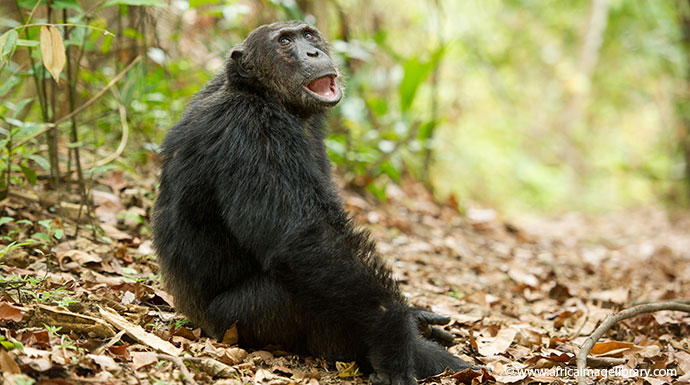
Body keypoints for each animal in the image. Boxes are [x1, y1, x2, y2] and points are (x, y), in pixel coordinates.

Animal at [150, 21, 472, 384]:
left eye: (308, 34)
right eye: (284, 41)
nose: (313, 52)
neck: (266, 95)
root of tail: (196, 323)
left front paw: (415, 318)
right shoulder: (254, 132)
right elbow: (308, 237)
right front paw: (398, 339)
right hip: (243, 319)